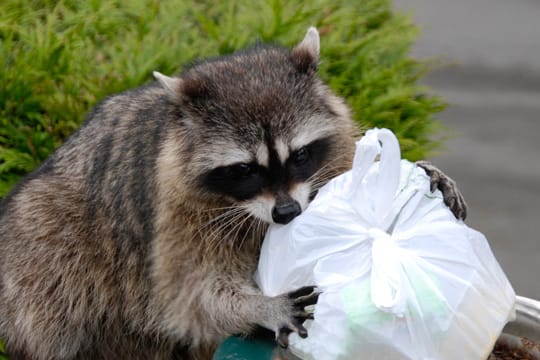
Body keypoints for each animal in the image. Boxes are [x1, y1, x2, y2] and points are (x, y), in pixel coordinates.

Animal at [0, 28, 464, 360]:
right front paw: (258, 306)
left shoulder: (328, 156)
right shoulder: (176, 215)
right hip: (43, 244)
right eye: (244, 170)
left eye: (299, 155)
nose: (287, 213)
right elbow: (192, 297)